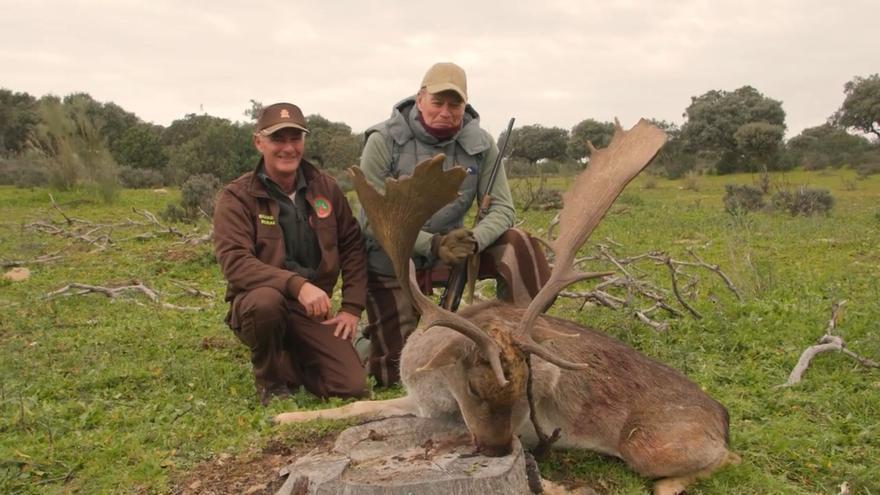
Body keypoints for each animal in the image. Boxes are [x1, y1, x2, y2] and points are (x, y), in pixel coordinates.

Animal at [276, 120, 744, 495]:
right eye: (473, 388)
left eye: (525, 391)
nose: (498, 448)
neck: (429, 384)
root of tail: (722, 416)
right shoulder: (417, 401)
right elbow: (356, 407)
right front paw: (285, 417)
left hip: (648, 443)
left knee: (724, 459)